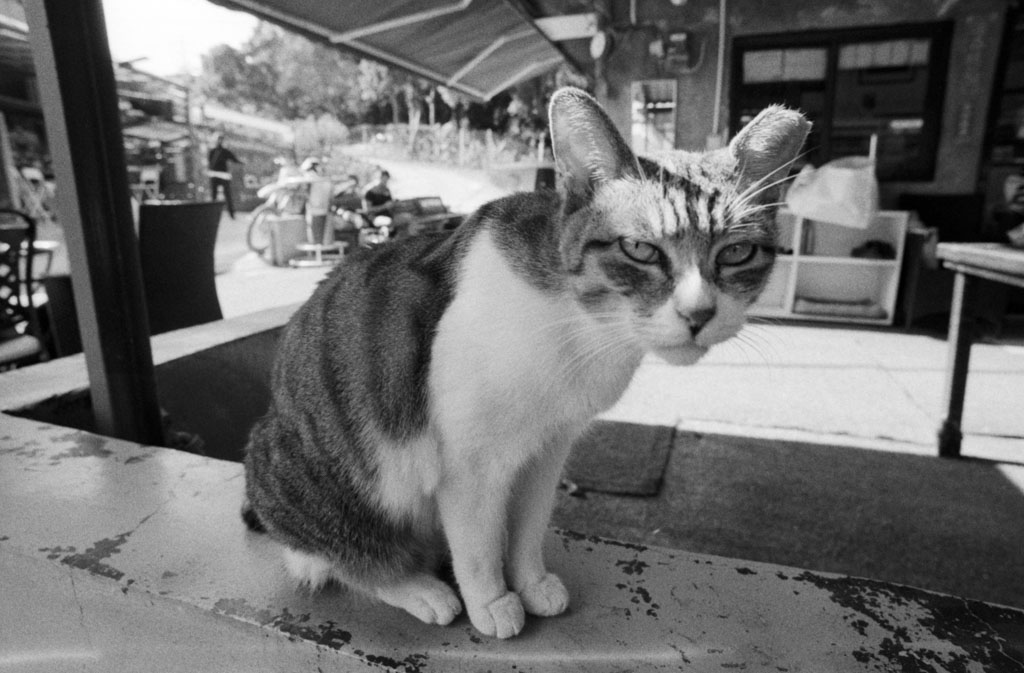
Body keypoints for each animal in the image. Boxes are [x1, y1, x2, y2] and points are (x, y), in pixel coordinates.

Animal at [242, 87, 809, 639]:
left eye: (736, 254)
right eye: (639, 249)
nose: (698, 314)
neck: (580, 329)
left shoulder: (548, 448)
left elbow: (528, 529)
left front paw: (531, 583)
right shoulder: (470, 463)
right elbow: (478, 546)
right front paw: (492, 602)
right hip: (341, 488)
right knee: (343, 558)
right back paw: (419, 588)